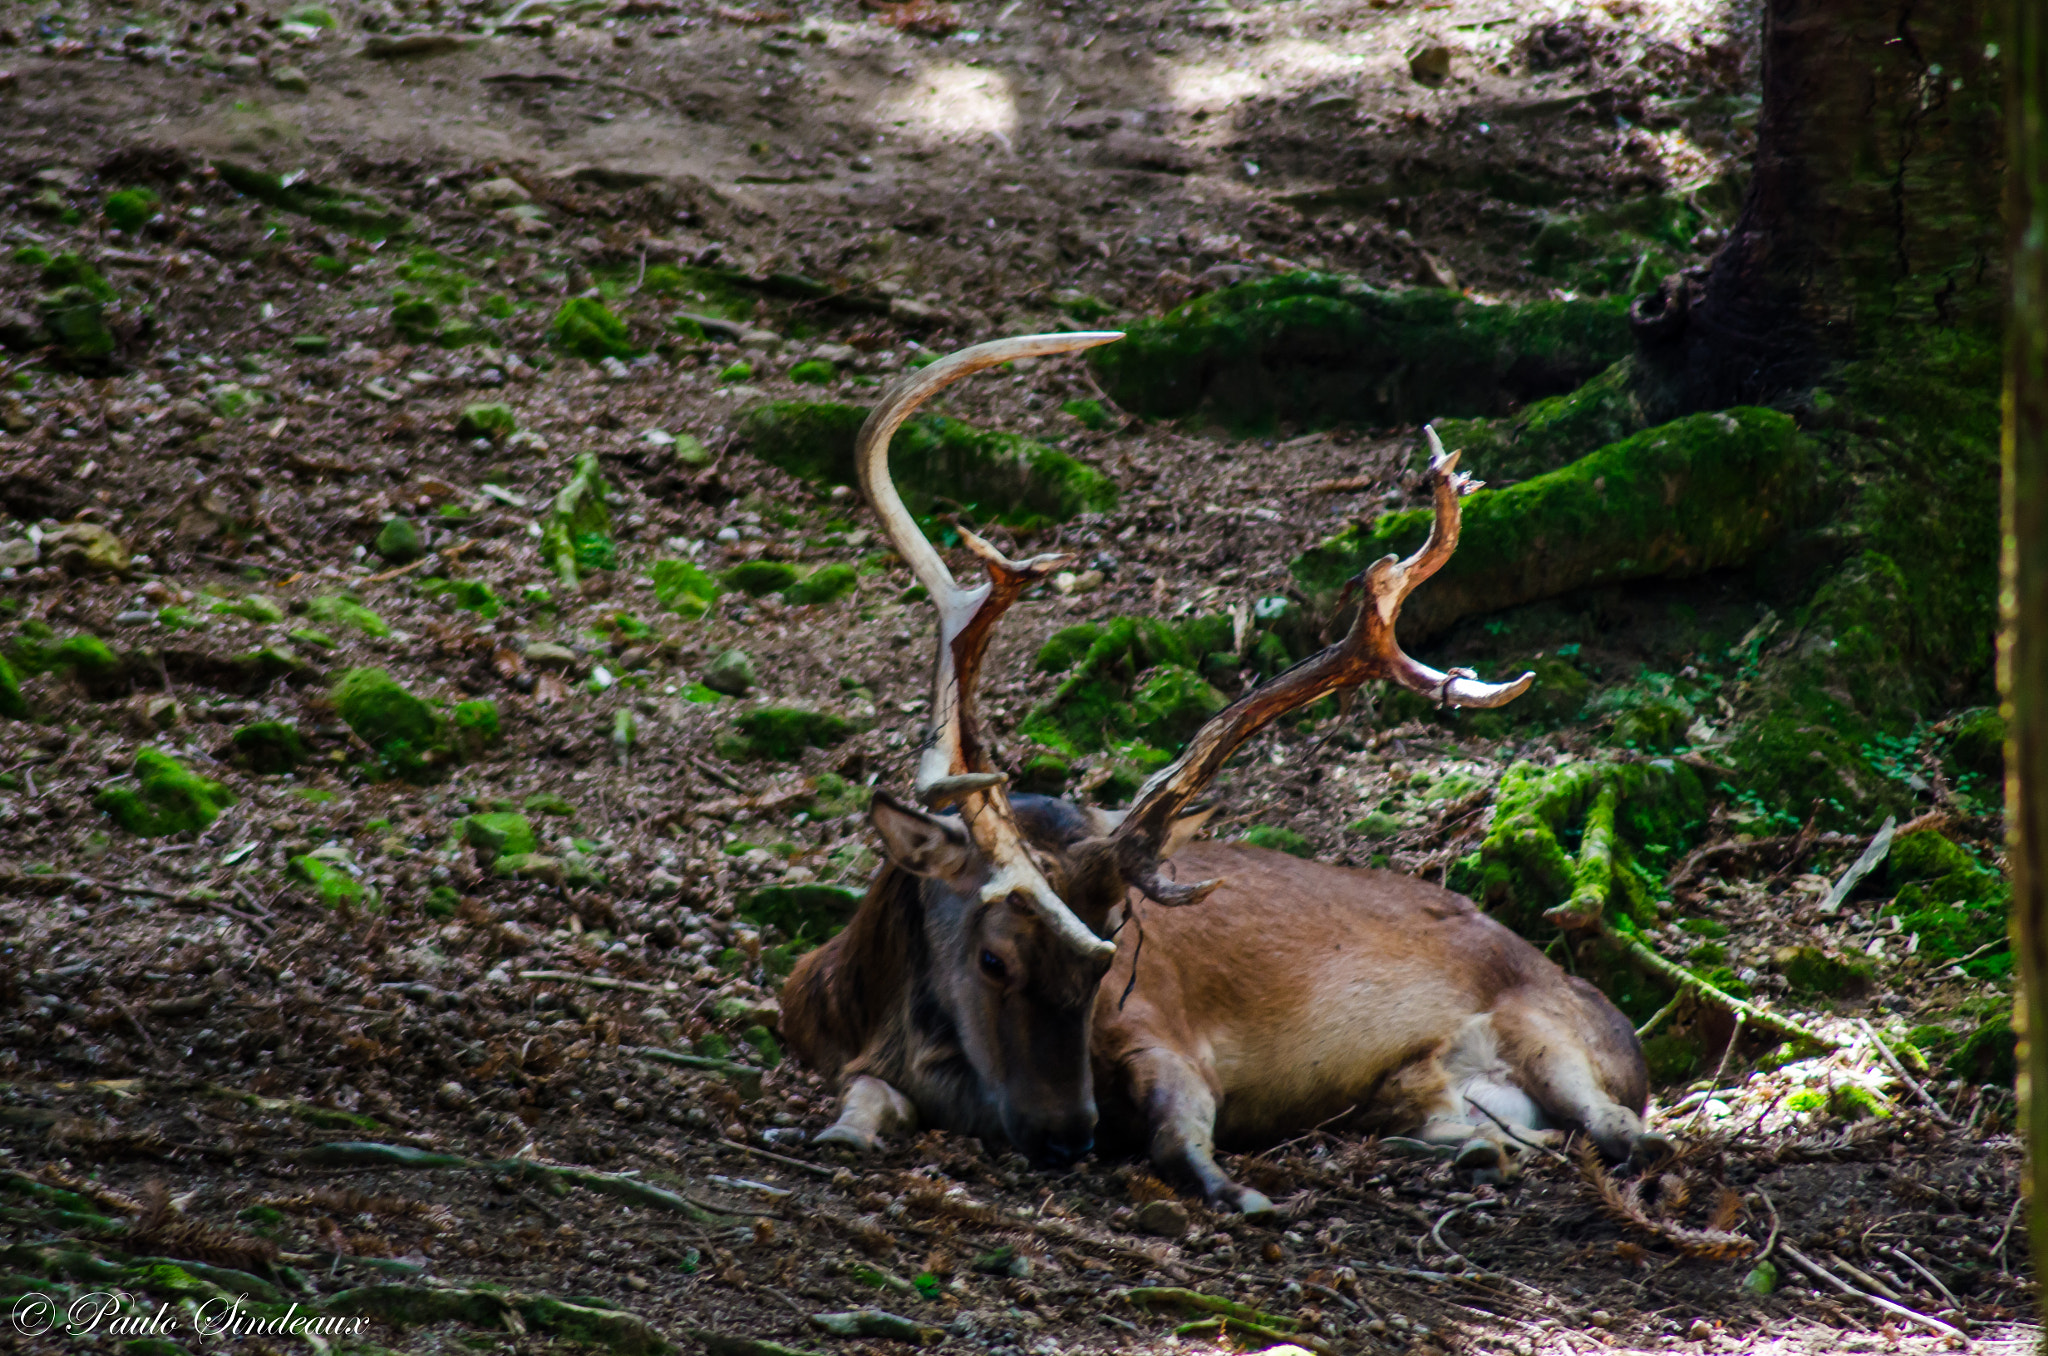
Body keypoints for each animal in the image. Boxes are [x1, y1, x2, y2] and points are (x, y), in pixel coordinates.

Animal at [782, 331, 1662, 1220]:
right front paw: (839, 1132)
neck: (867, 1013)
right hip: (1418, 1092)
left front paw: (1237, 1190)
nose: (1068, 1135)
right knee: (1491, 1129)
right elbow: (861, 1097)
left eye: (1109, 958)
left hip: (1552, 1030)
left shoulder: (1163, 1031)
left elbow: (1179, 1135)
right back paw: (1479, 1153)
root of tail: (1626, 1035)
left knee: (1627, 1130)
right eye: (993, 960)